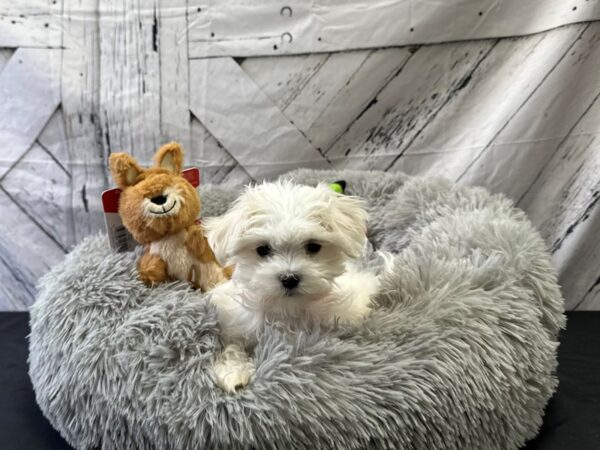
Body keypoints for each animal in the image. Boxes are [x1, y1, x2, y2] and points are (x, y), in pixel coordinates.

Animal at [202, 181, 380, 392]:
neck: (287, 308)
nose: (289, 278)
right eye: (263, 249)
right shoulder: (235, 323)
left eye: (313, 246)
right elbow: (232, 346)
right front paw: (233, 373)